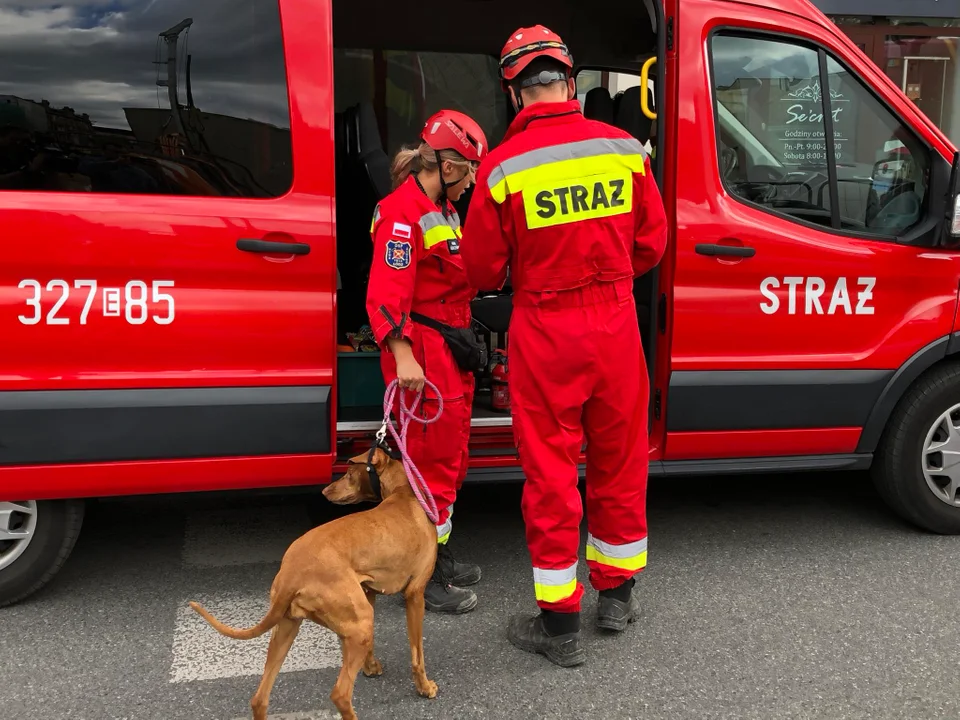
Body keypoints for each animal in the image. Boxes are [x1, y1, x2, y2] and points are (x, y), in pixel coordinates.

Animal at [187, 450, 438, 720]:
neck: (403, 492)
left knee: (259, 699)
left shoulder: (369, 591)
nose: (325, 491)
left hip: (289, 627)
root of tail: (291, 573)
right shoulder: (415, 595)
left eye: (349, 473)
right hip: (359, 622)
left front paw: (371, 667)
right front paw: (424, 687)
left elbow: (374, 645)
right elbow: (418, 653)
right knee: (340, 694)